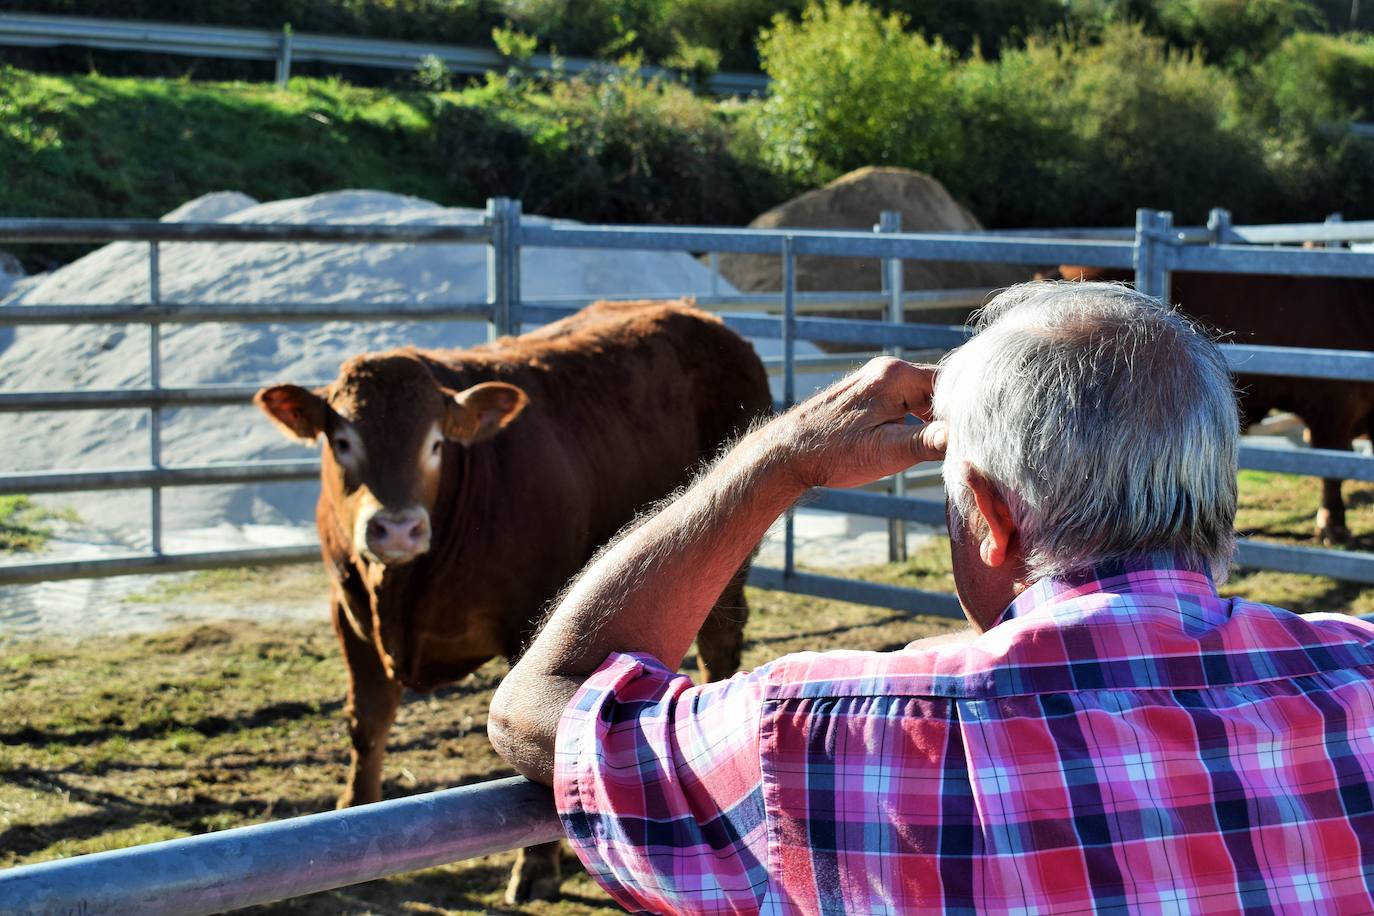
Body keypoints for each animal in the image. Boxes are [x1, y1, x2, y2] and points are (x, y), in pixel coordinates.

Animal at [255, 298, 774, 900]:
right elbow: (368, 720)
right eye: (342, 442)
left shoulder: (530, 614)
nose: (398, 528)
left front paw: (536, 867)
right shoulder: (348, 611)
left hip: (732, 557)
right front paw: (351, 817)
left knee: (720, 643)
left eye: (436, 443)